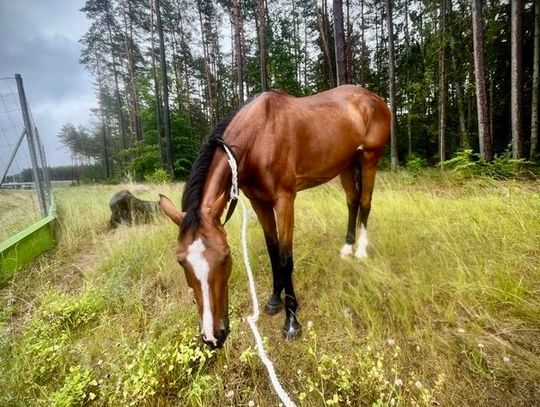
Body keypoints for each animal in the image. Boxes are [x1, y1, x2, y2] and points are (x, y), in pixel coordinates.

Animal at [158, 84, 390, 350]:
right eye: (180, 261)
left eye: (225, 256)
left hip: (369, 159)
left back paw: (360, 250)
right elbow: (272, 250)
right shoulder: (259, 202)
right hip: (347, 163)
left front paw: (291, 321)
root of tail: (373, 98)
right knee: (352, 202)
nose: (213, 336)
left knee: (365, 202)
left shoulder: (285, 201)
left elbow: (285, 257)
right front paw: (273, 300)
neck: (258, 137)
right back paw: (347, 248)